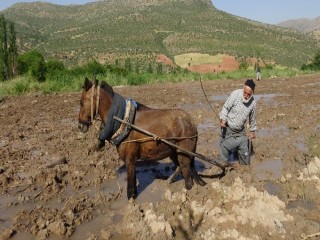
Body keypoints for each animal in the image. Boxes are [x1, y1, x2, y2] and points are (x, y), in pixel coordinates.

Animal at [78, 78, 206, 200]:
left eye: (81, 102)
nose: (80, 125)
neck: (123, 120)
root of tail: (191, 121)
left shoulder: (130, 160)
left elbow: (130, 188)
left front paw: (131, 202)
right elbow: (133, 186)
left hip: (183, 153)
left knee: (187, 176)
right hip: (173, 151)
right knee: (179, 167)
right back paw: (169, 181)